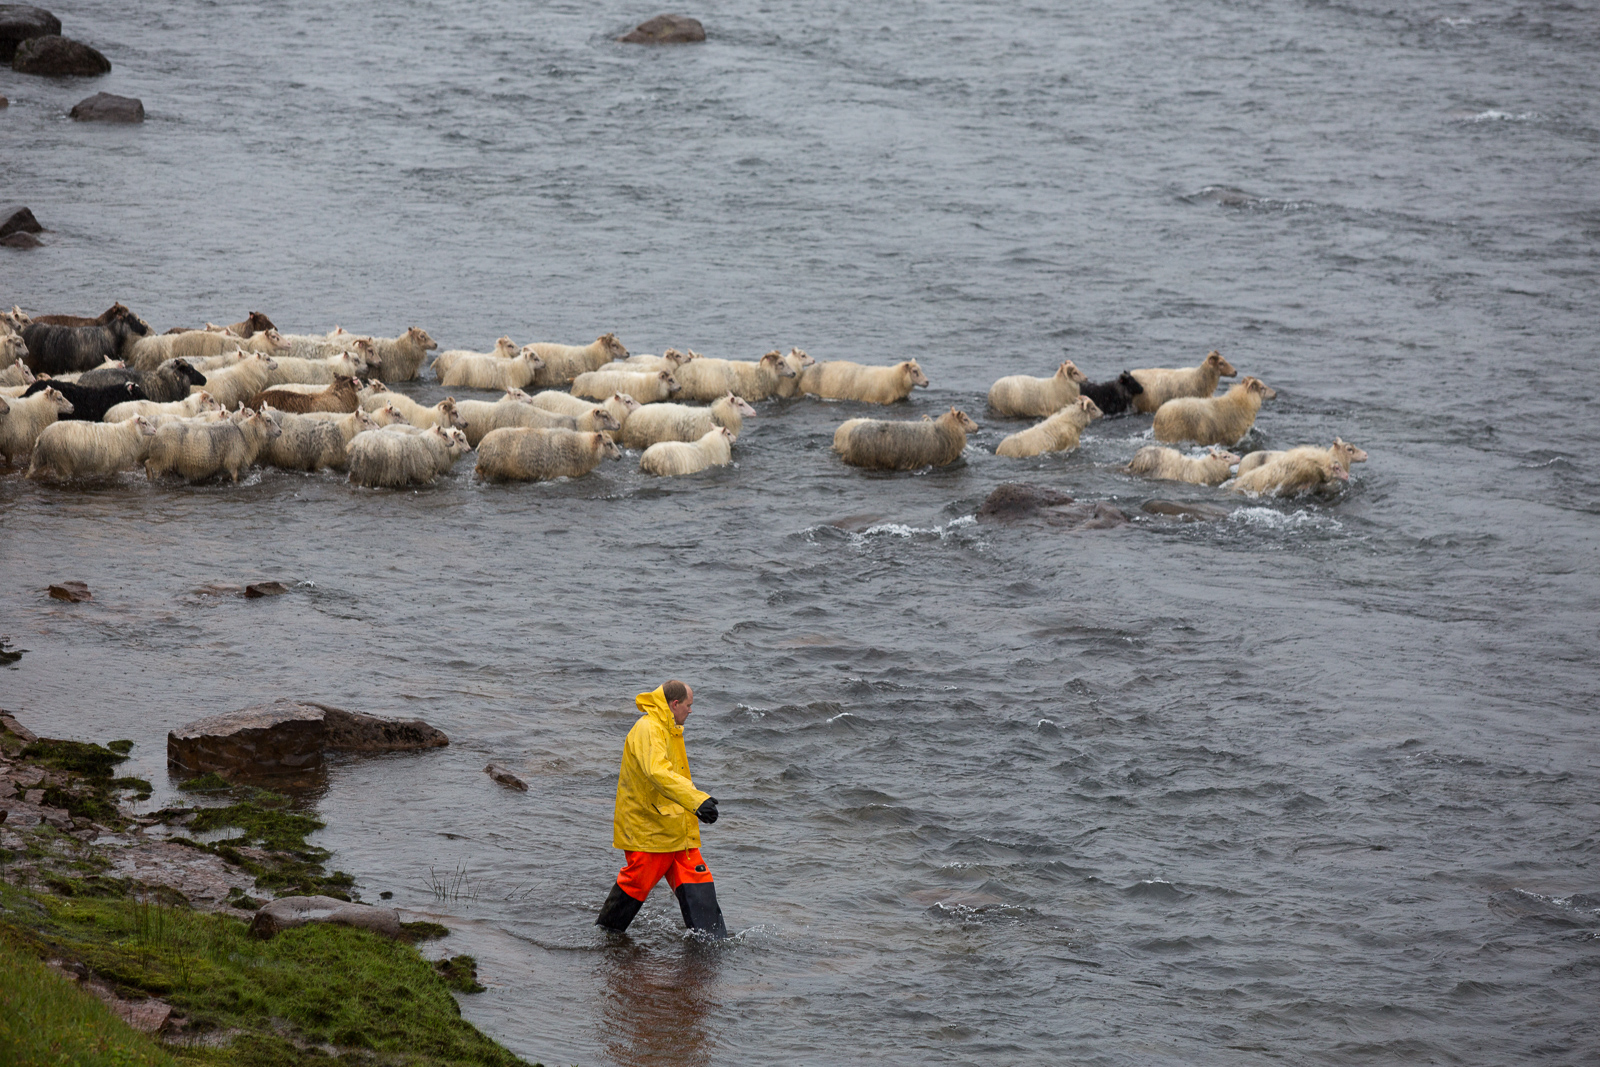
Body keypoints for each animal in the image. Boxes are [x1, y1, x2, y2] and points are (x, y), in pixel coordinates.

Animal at [27, 415, 157, 480]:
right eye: (144, 423)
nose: (155, 430)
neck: (126, 432)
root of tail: (42, 435)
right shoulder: (111, 464)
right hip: (61, 460)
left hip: (39, 457)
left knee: (31, 471)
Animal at [144, 407, 282, 483]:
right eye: (268, 420)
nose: (280, 431)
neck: (243, 433)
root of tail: (157, 431)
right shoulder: (232, 461)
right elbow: (235, 478)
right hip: (161, 456)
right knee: (147, 464)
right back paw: (150, 479)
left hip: (168, 460)